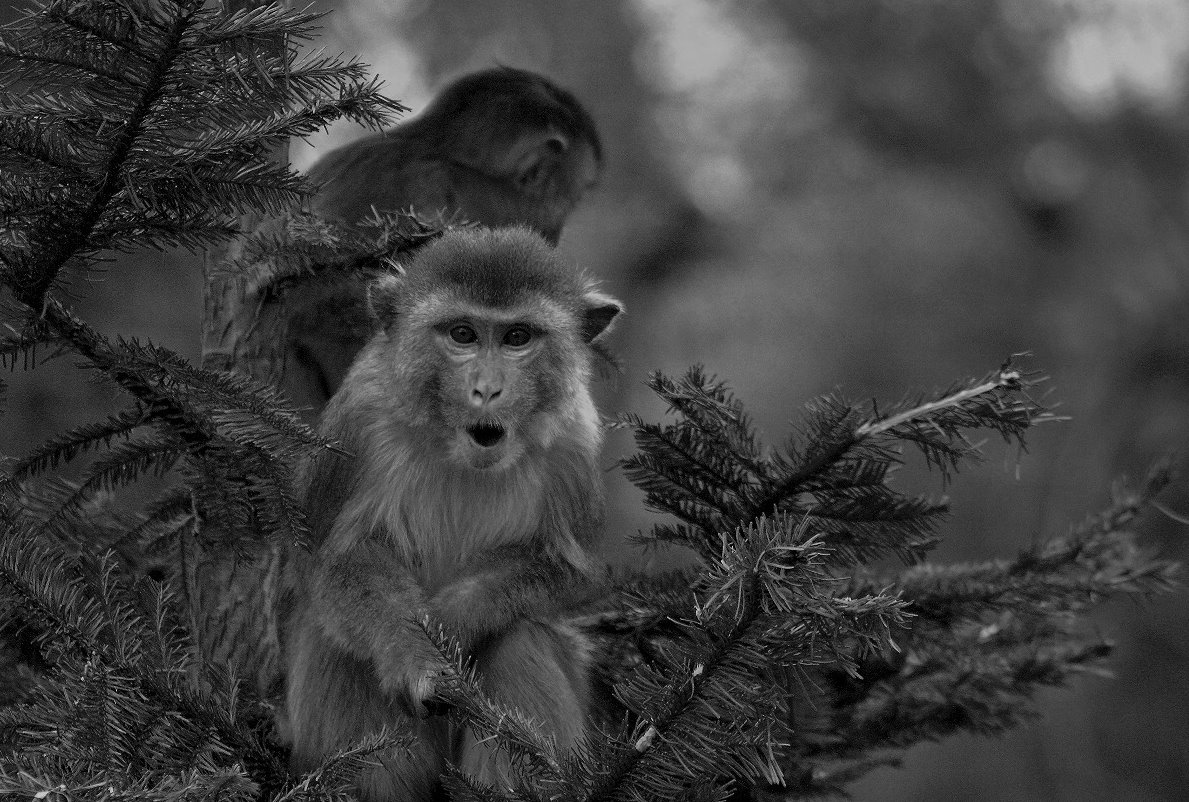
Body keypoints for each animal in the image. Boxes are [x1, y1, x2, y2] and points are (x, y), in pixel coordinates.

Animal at [279, 222, 623, 798]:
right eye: (463, 335)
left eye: (517, 338)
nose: (487, 390)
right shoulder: (356, 423)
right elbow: (335, 562)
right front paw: (413, 654)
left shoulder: (576, 443)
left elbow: (570, 574)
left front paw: (453, 625)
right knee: (341, 645)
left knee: (518, 636)